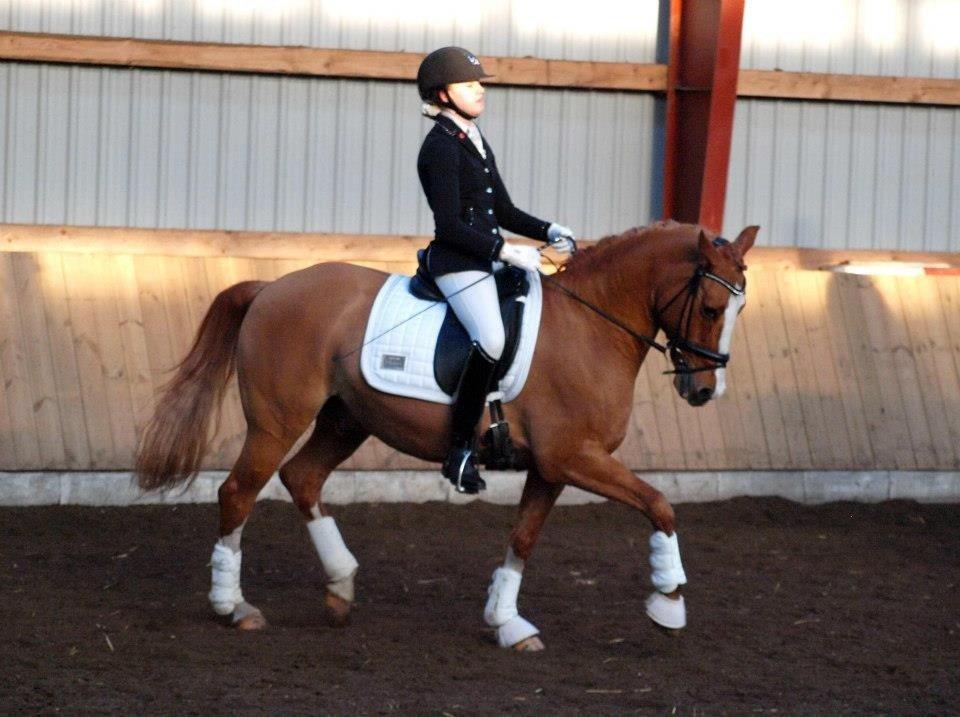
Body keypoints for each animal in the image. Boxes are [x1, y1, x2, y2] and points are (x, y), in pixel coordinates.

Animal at [135, 219, 757, 651]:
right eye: (710, 306)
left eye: (739, 308)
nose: (705, 391)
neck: (591, 326)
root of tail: (270, 288)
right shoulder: (573, 458)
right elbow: (659, 504)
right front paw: (668, 604)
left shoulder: (552, 466)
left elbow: (523, 539)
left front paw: (508, 624)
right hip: (276, 421)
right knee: (238, 492)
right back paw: (233, 607)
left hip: (347, 419)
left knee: (302, 478)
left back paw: (340, 587)